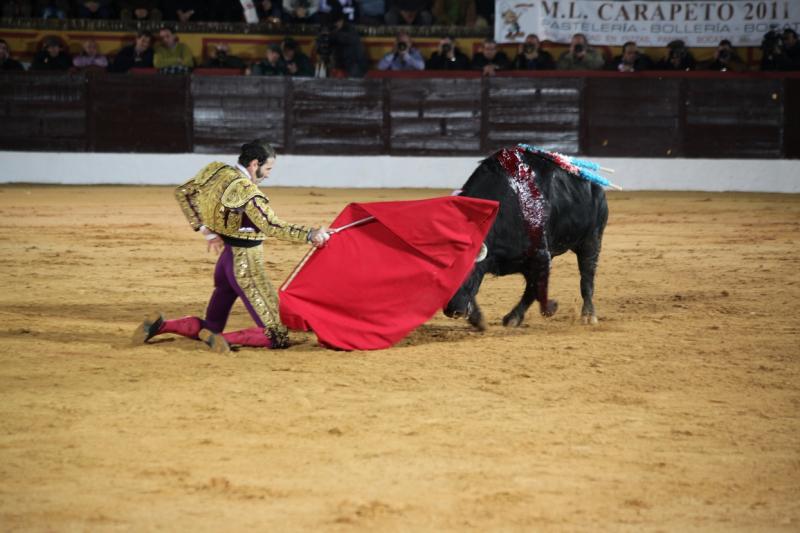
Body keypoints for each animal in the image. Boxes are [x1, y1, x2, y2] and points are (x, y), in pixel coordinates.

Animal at [444, 149, 608, 328]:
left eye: (468, 273)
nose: (452, 310)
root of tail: (594, 185)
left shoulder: (540, 256)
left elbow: (535, 288)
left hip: (592, 241)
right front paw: (478, 319)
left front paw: (544, 309)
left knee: (587, 277)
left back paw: (588, 315)